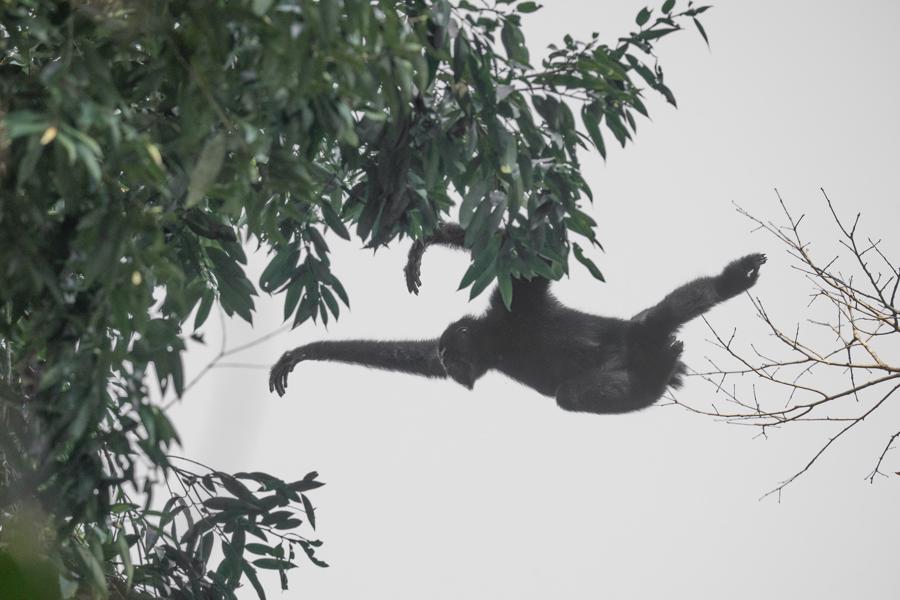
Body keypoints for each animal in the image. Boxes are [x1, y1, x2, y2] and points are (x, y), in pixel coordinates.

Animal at [269, 223, 766, 415]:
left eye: (452, 352)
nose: (449, 363)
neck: (497, 337)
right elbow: (416, 357)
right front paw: (303, 353)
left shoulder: (516, 303)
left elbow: (527, 255)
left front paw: (425, 243)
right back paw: (657, 373)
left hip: (629, 340)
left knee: (643, 327)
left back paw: (728, 284)